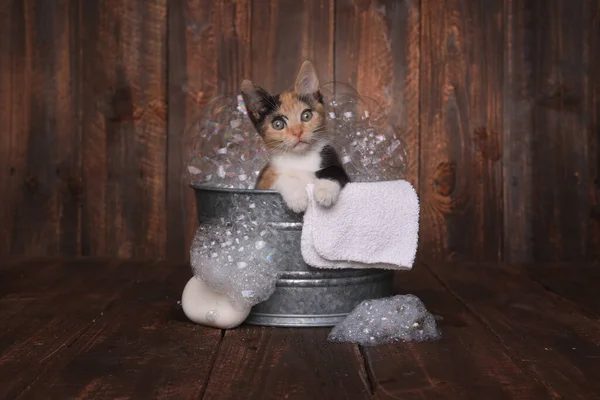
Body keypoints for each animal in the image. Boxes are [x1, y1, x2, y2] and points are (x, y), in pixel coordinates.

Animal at [241, 60, 350, 212]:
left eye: (306, 115)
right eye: (278, 124)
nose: (298, 132)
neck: (301, 158)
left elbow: (334, 170)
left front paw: (325, 190)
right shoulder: (263, 182)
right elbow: (280, 178)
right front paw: (297, 198)